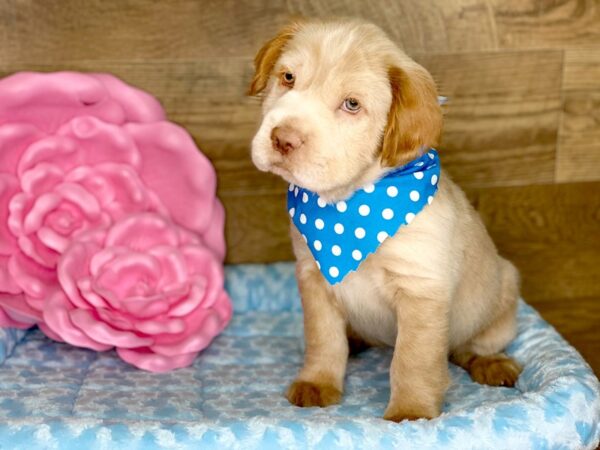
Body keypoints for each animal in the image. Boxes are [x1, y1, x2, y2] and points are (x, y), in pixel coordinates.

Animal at [248, 18, 520, 422]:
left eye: (351, 105)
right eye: (288, 78)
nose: (283, 139)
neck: (349, 204)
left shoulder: (421, 291)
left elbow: (413, 361)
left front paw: (410, 412)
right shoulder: (313, 279)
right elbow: (324, 339)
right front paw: (318, 381)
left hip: (500, 297)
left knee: (469, 347)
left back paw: (491, 362)